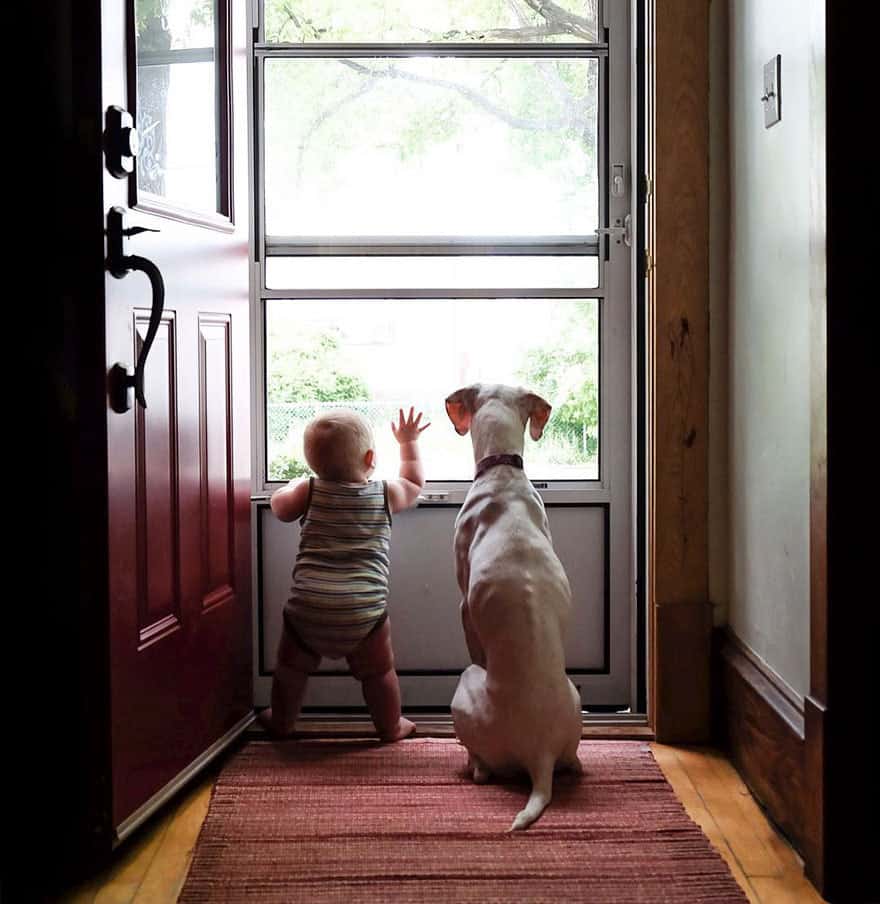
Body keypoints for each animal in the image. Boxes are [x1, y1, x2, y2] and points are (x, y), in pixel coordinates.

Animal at [446, 384, 584, 832]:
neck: (503, 472)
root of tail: (538, 755)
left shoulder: (464, 607)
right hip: (574, 701)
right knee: (572, 763)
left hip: (464, 686)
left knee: (482, 767)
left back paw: (474, 766)